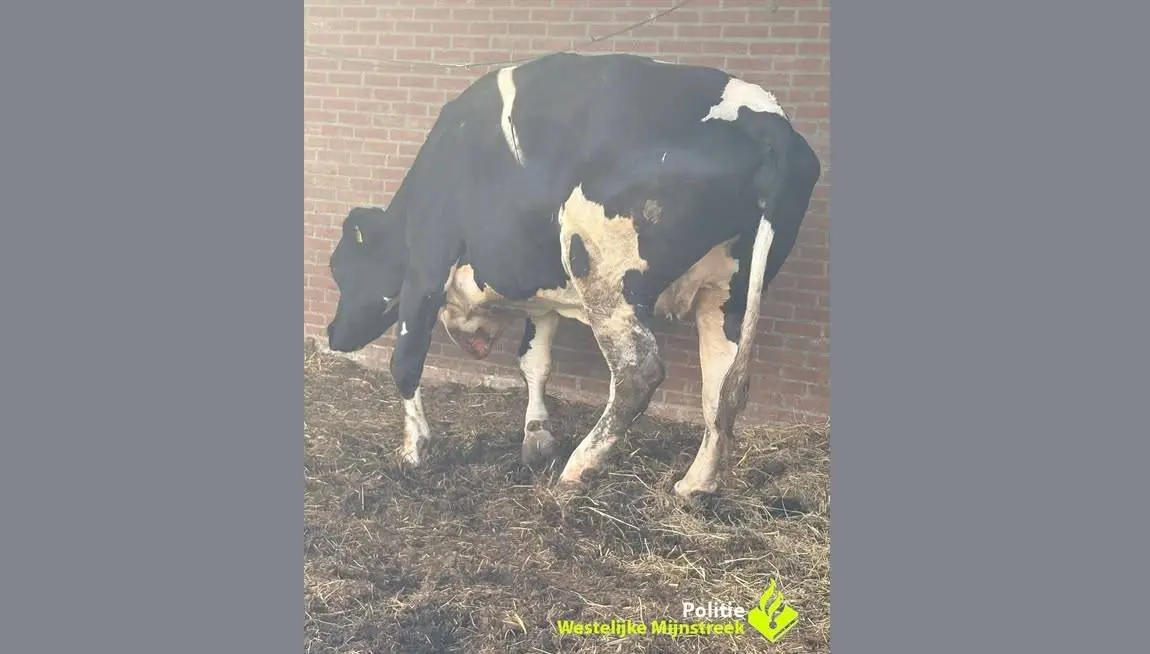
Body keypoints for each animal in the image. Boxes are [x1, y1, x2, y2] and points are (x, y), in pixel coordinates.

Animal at [325, 52, 821, 501]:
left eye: (342, 270)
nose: (332, 334)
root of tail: (765, 121)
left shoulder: (425, 270)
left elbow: (405, 361)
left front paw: (413, 450)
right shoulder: (540, 293)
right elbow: (534, 361)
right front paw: (537, 440)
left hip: (604, 271)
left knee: (638, 373)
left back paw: (579, 468)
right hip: (727, 293)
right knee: (722, 386)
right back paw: (694, 484)